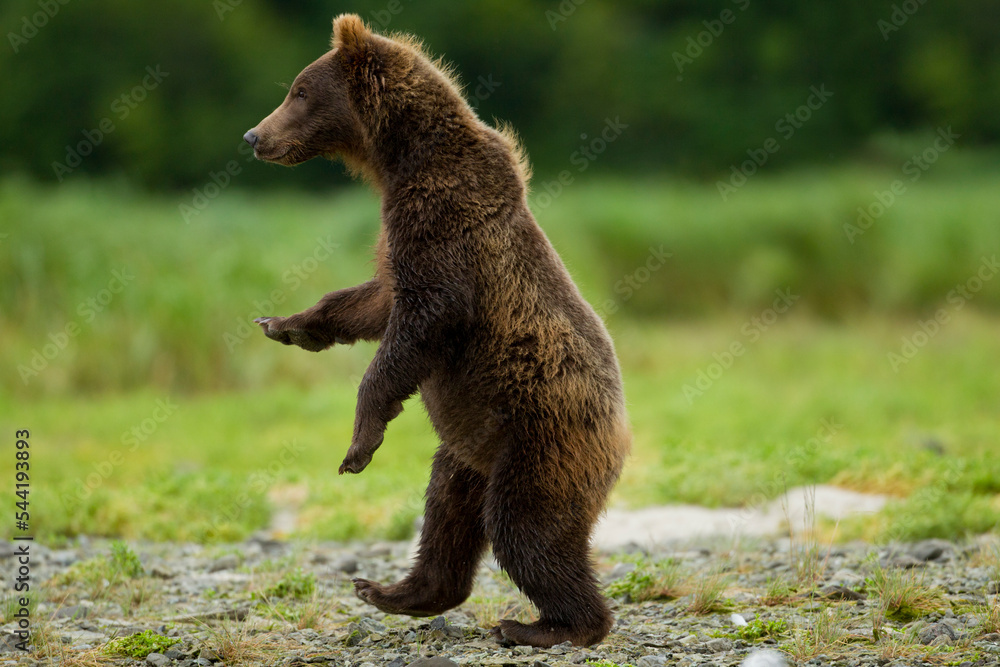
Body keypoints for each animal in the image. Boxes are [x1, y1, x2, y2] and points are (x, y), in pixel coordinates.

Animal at [243, 14, 631, 648]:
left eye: (298, 92)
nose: (254, 136)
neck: (396, 163)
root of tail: (622, 439)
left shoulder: (444, 226)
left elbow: (422, 322)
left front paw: (358, 446)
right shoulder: (398, 234)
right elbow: (374, 300)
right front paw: (283, 324)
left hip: (542, 439)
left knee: (525, 529)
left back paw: (545, 626)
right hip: (468, 450)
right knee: (446, 512)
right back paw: (390, 590)